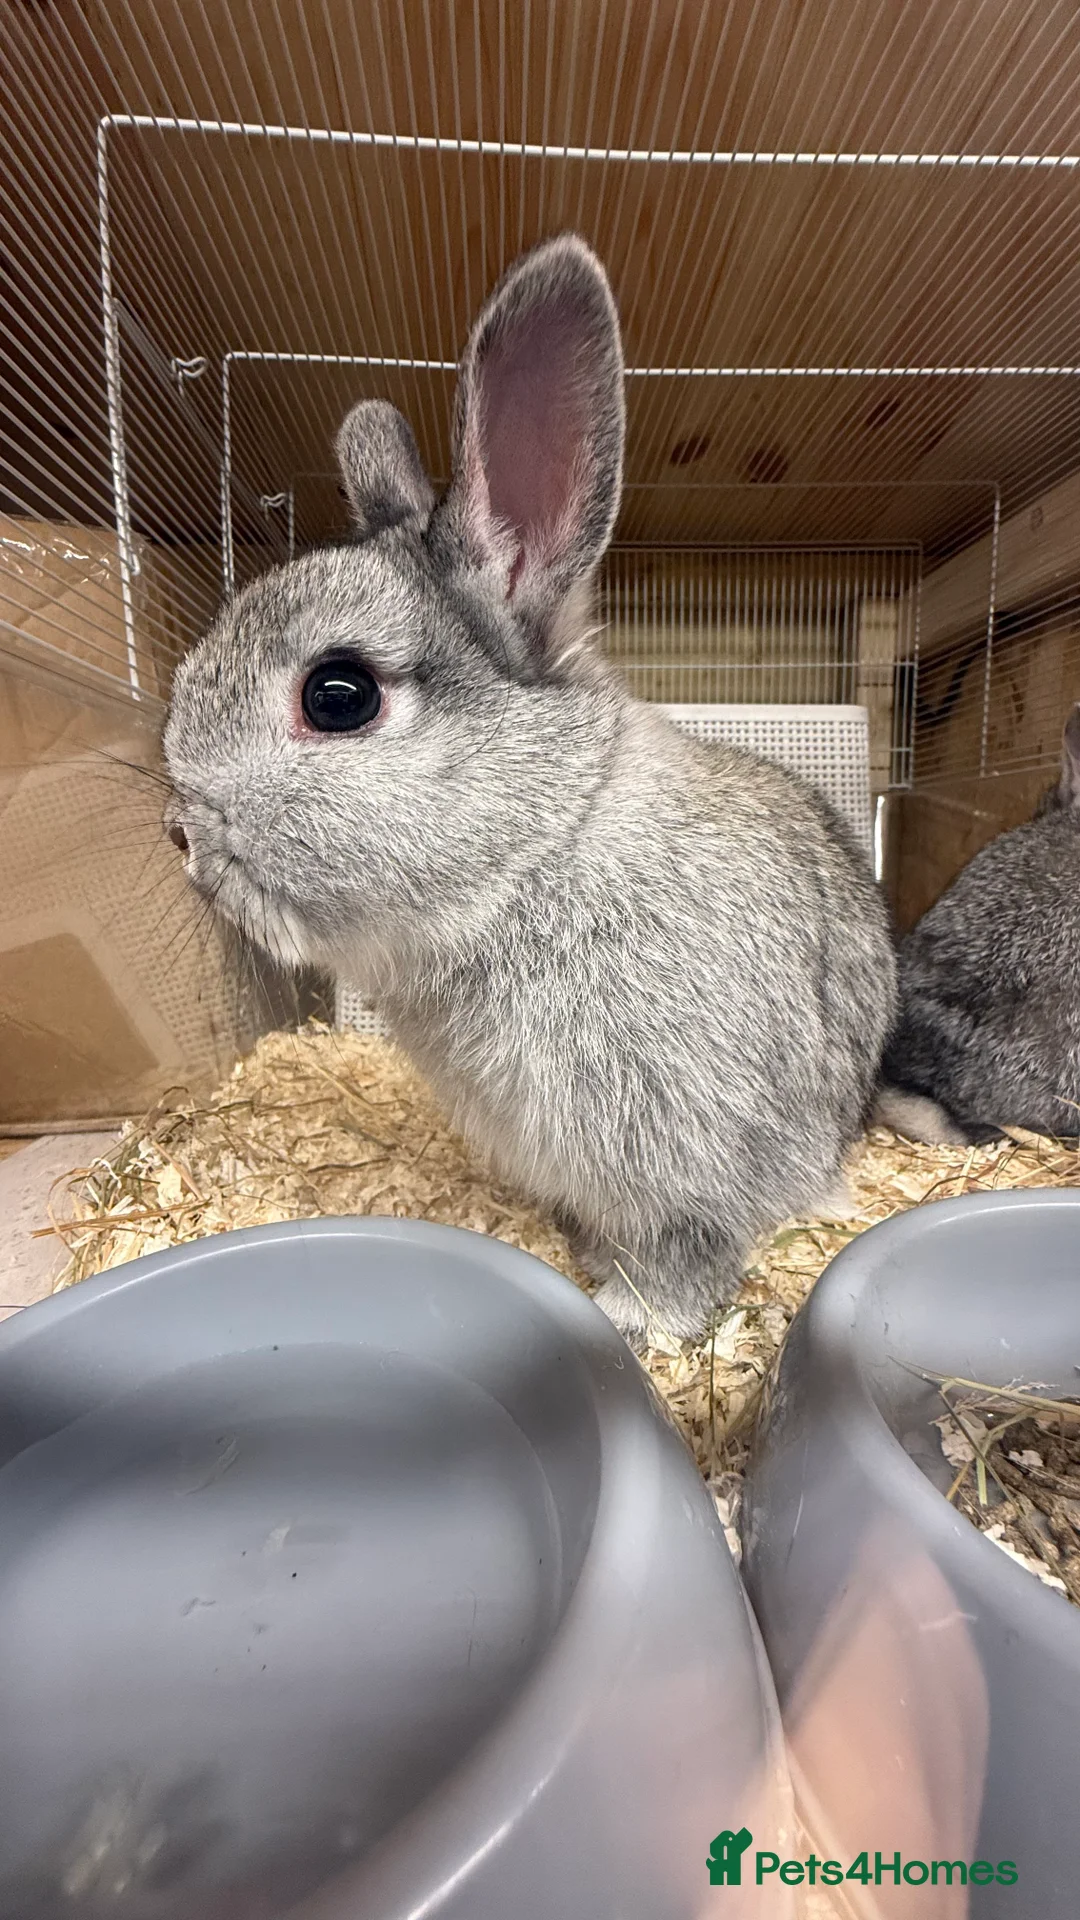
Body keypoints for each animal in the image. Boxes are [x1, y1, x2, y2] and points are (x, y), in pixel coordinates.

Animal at [163, 233, 896, 1344]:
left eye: (338, 695)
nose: (180, 835)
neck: (540, 851)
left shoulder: (695, 1155)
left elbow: (689, 1252)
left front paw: (631, 1316)